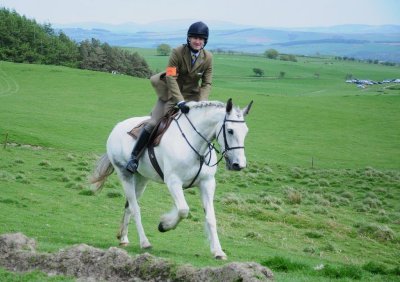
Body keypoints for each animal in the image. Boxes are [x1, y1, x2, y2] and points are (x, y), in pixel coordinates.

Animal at [91, 98, 253, 258]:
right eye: (230, 131)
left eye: (246, 131)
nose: (239, 164)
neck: (195, 145)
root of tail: (117, 127)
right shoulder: (173, 182)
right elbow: (183, 210)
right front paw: (164, 225)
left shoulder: (207, 183)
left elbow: (210, 217)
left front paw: (218, 251)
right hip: (125, 175)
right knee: (135, 208)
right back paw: (144, 242)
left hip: (141, 178)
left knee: (129, 206)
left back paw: (124, 238)